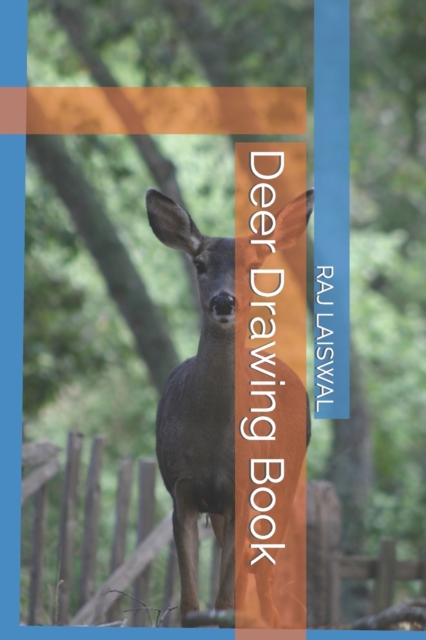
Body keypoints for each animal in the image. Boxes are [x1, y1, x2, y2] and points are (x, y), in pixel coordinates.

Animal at [146, 187, 313, 627]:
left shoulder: (242, 491)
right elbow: (192, 604)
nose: (224, 302)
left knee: (266, 565)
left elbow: (226, 600)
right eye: (200, 263)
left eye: (254, 265)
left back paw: (274, 620)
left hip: (283, 481)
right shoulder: (182, 490)